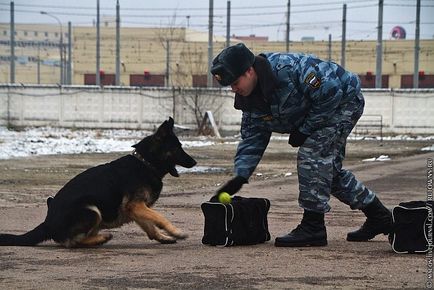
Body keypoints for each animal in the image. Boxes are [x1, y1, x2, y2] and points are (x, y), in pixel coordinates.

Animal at [0, 117, 197, 247]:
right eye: (178, 148)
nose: (195, 162)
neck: (145, 163)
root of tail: (47, 223)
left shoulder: (136, 209)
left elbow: (150, 227)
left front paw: (163, 237)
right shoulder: (136, 205)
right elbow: (159, 217)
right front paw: (176, 231)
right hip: (91, 210)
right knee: (72, 242)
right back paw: (102, 238)